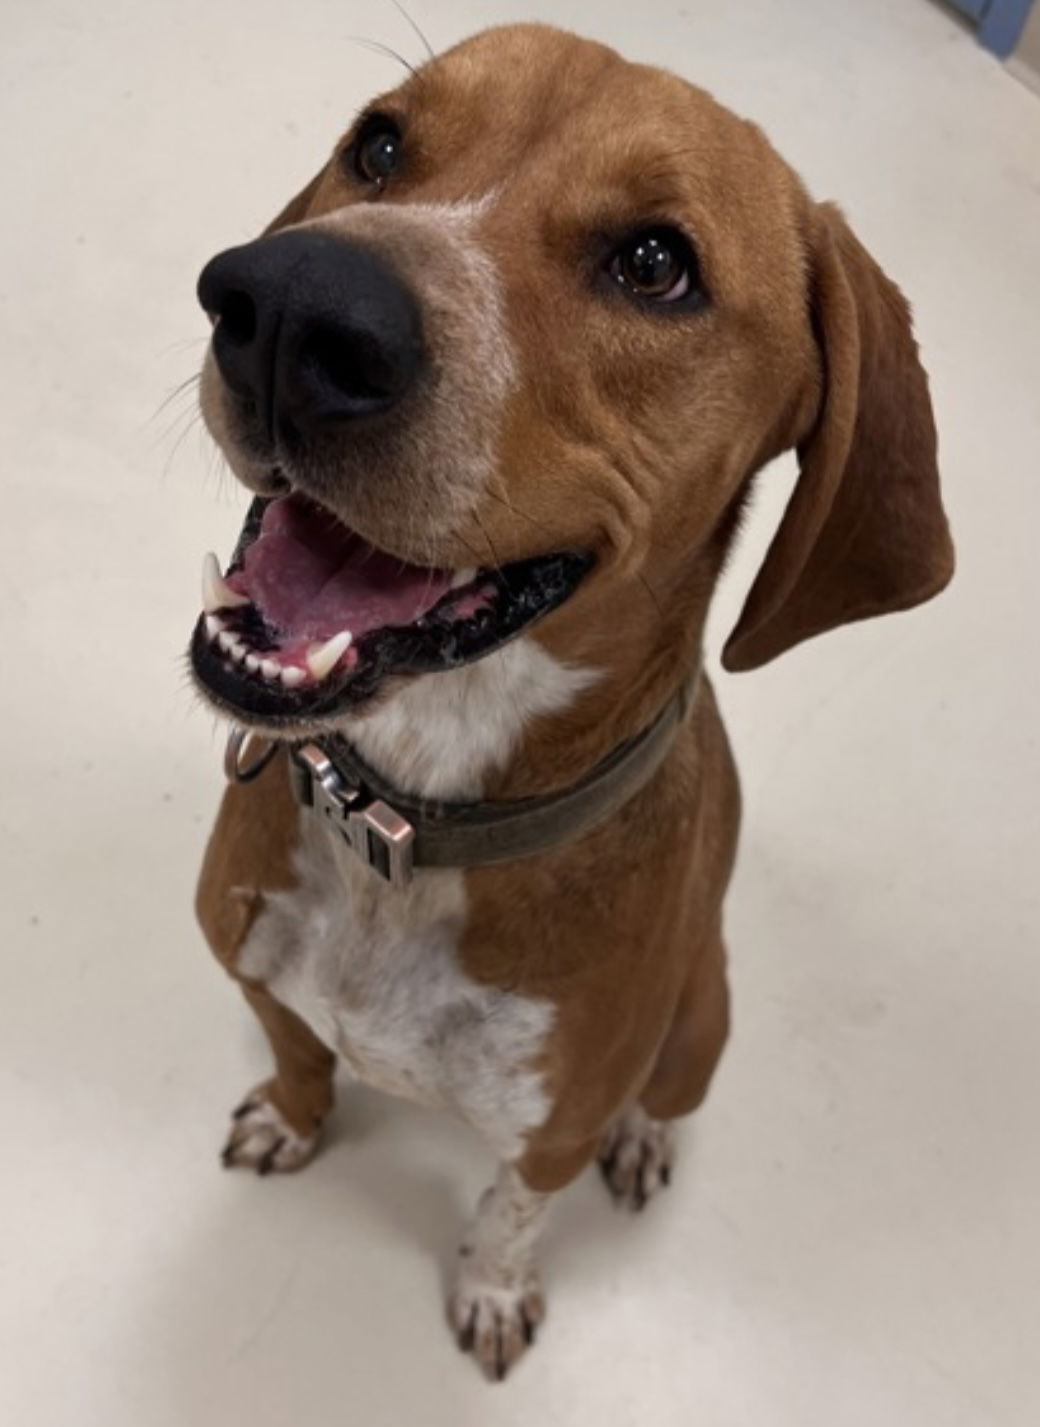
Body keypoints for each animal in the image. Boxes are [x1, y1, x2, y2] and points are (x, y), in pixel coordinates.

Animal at [186, 22, 947, 1381]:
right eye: (378, 144)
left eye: (655, 264)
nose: (283, 305)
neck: (409, 825)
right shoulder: (256, 973)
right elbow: (295, 1053)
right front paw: (291, 1113)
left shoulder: (550, 1128)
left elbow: (509, 1209)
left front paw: (491, 1287)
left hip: (701, 1024)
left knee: (662, 1096)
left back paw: (644, 1138)